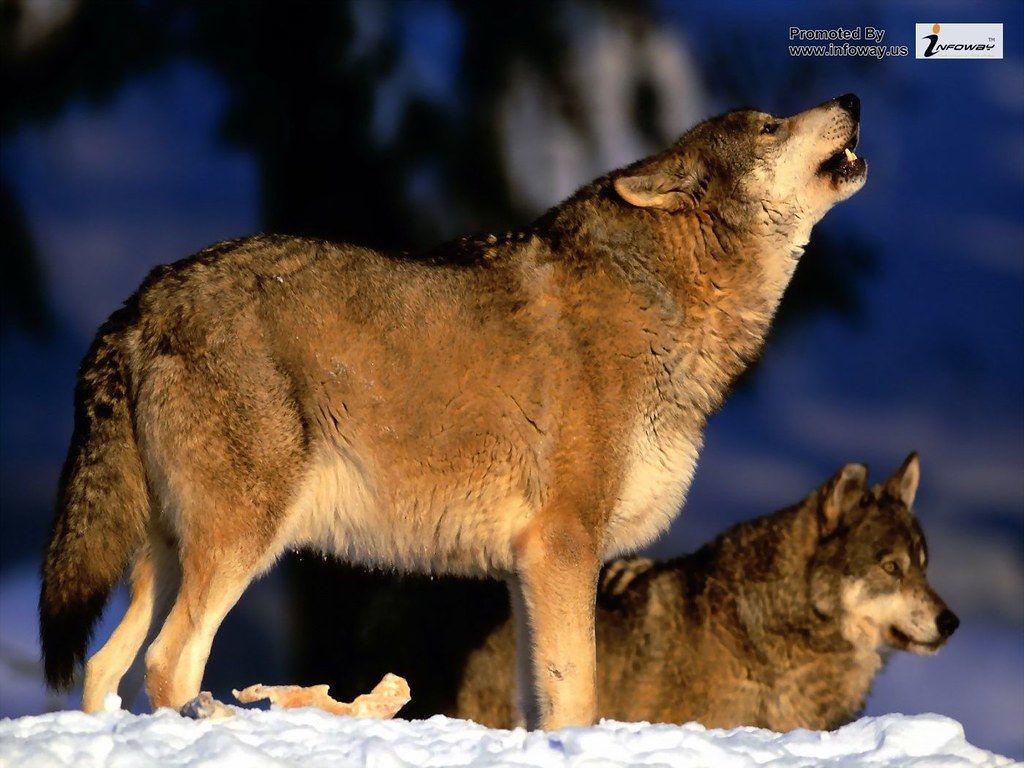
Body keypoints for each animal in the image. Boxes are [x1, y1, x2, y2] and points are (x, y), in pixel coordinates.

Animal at [40, 94, 866, 729]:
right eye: (769, 126)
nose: (853, 100)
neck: (664, 304)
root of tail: (142, 300)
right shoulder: (566, 546)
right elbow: (580, 698)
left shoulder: (527, 568)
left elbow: (539, 701)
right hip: (239, 544)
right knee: (167, 664)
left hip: (167, 557)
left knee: (103, 667)